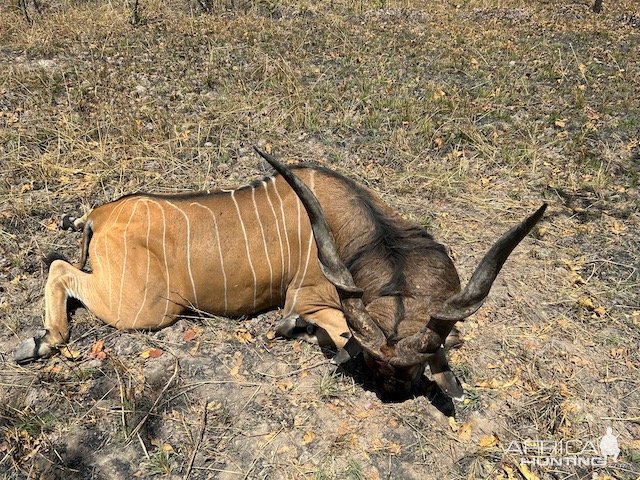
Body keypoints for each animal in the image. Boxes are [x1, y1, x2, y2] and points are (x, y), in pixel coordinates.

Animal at [15, 149, 544, 398]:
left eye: (412, 367)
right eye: (380, 365)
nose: (392, 392)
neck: (362, 230)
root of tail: (105, 214)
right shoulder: (306, 297)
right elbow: (330, 329)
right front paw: (300, 332)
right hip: (146, 309)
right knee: (59, 268)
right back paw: (41, 340)